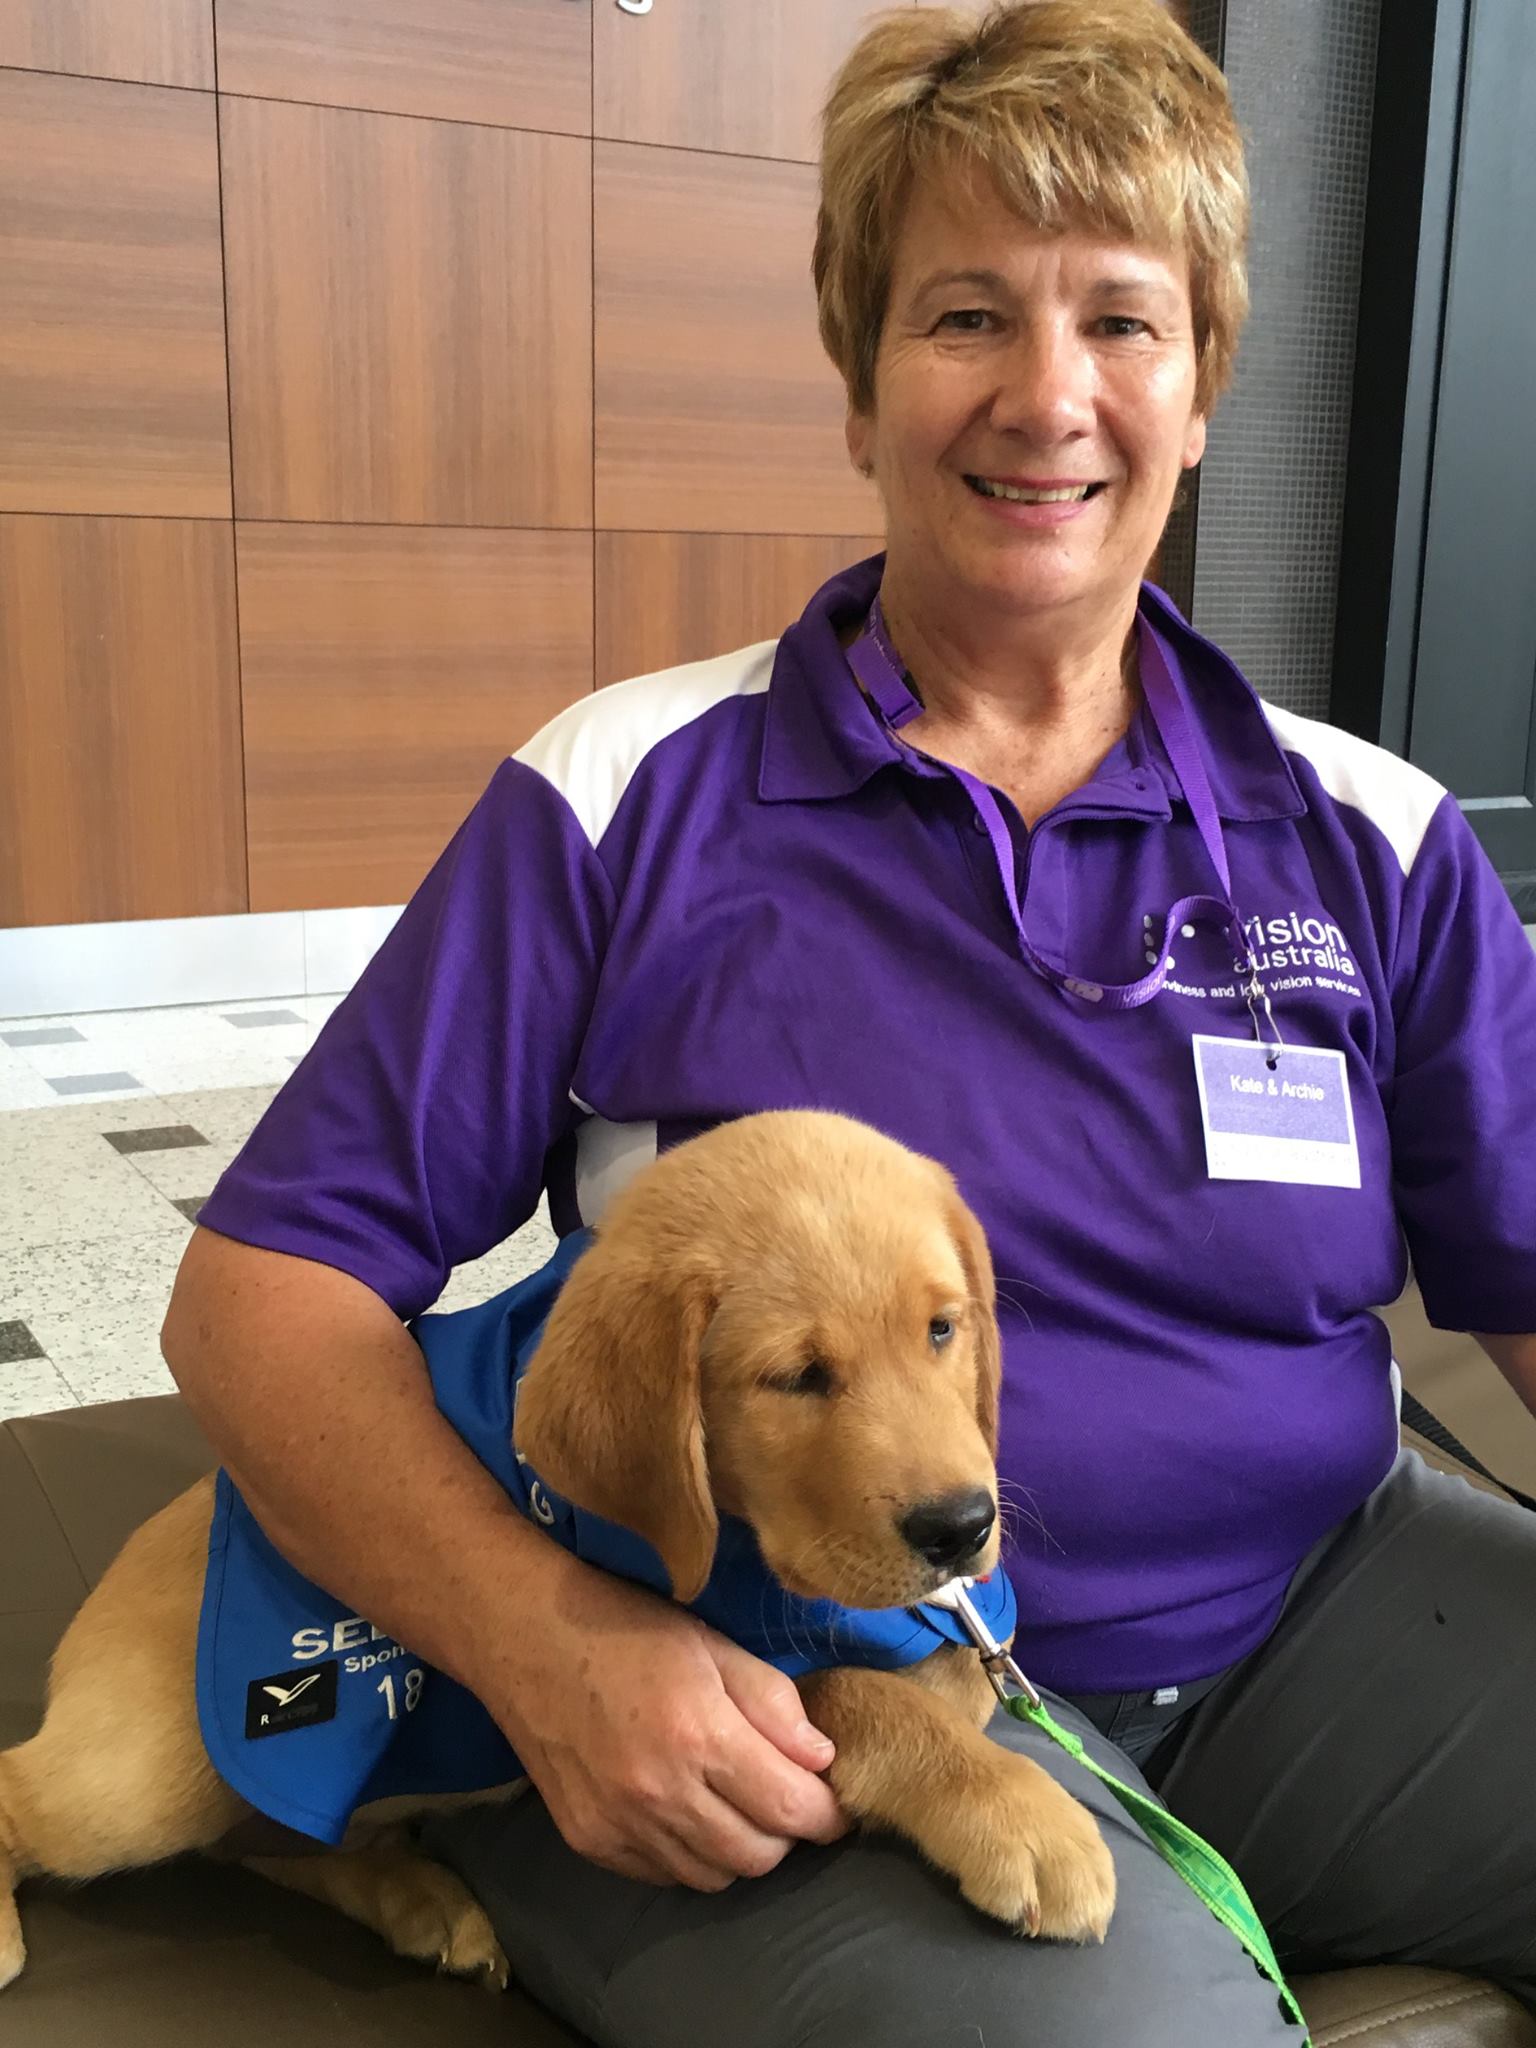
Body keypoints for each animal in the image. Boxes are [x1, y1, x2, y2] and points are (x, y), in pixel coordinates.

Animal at [0, 1114, 1114, 1990]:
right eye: (795, 1377)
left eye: (942, 1329)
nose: (961, 1526)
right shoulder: (746, 1683)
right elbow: (862, 1693)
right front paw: (1025, 1816)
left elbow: (949, 1671)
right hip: (150, 1772)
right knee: (42, 1792)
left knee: (267, 1845)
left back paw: (421, 1902)